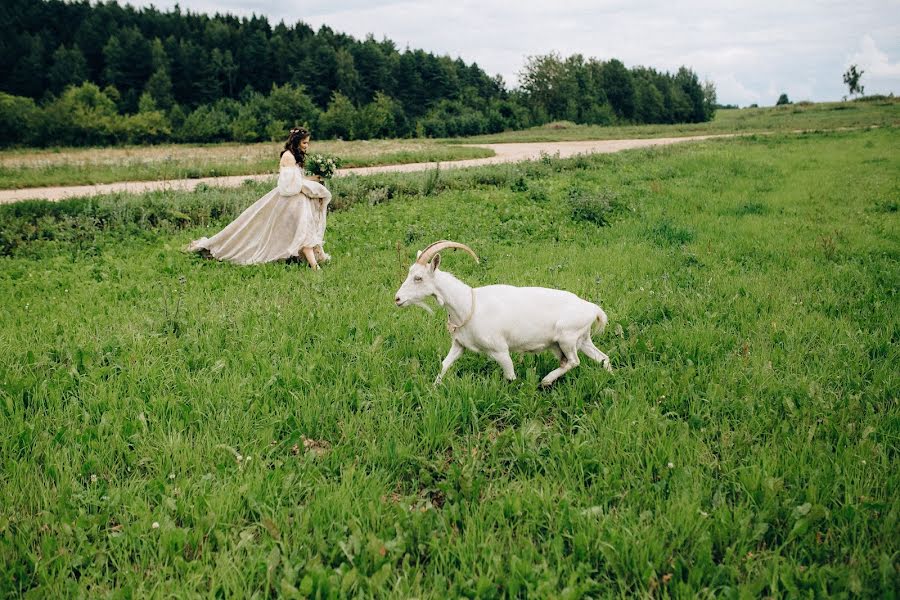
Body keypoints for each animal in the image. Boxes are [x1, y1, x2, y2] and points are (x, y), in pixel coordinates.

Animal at [394, 240, 612, 386]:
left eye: (418, 278)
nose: (397, 299)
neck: (468, 304)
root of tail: (592, 308)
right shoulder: (459, 344)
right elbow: (445, 364)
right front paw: (434, 387)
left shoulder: (500, 350)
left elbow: (510, 376)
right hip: (581, 339)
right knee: (602, 358)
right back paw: (611, 377)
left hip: (567, 338)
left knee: (573, 361)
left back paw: (546, 380)